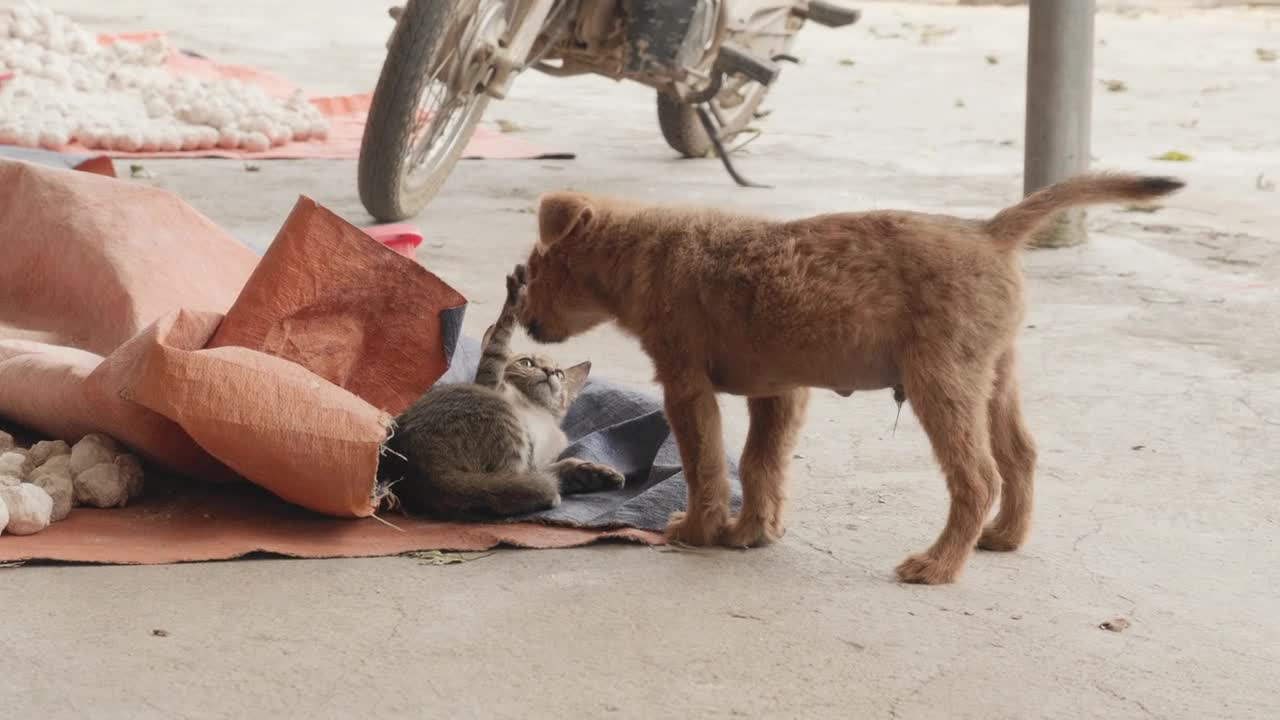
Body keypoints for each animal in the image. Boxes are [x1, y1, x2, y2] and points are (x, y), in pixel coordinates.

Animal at [384, 265, 624, 515]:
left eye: (560, 374)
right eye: (527, 362)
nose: (549, 371)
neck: (536, 409)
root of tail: (419, 468)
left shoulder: (542, 457)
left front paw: (588, 472)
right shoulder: (490, 381)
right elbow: (499, 342)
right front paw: (515, 300)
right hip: (497, 411)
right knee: (500, 487)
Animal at [514, 175, 1182, 584]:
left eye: (535, 268)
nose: (521, 319)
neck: (645, 250)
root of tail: (989, 232)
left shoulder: (686, 386)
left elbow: (705, 465)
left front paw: (699, 531)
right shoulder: (778, 391)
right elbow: (760, 464)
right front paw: (753, 532)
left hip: (940, 382)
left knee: (978, 476)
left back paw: (938, 565)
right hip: (994, 375)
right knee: (1020, 455)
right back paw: (1005, 537)